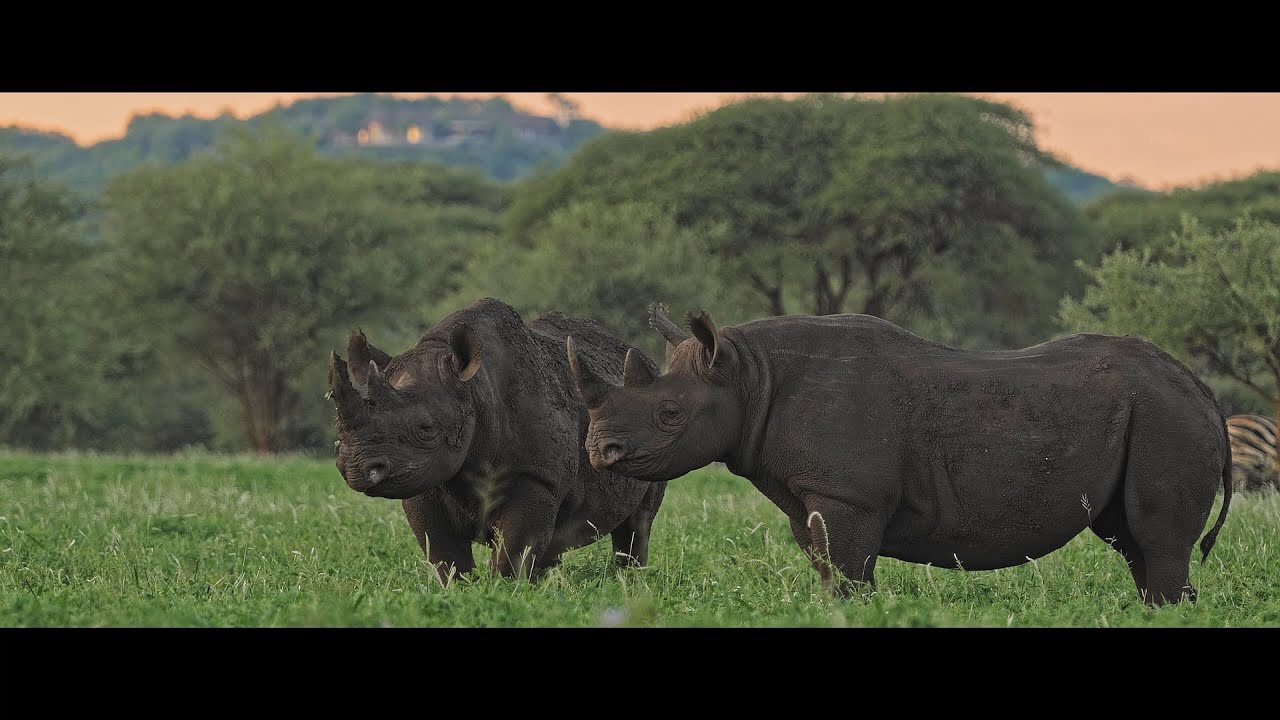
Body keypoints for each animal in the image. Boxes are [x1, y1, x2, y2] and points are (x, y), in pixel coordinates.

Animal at [328, 298, 667, 584]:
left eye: (426, 428)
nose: (357, 468)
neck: (474, 389)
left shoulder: (536, 478)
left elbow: (514, 550)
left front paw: (504, 591)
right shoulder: (425, 479)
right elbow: (443, 552)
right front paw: (460, 591)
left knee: (638, 523)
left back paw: (628, 580)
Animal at [567, 306, 1232, 605]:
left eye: (669, 416)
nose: (599, 451)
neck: (750, 379)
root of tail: (1203, 391)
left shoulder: (849, 495)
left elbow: (849, 573)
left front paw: (853, 611)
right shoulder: (816, 493)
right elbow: (828, 567)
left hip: (1166, 419)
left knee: (1156, 540)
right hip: (1152, 416)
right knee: (1131, 539)